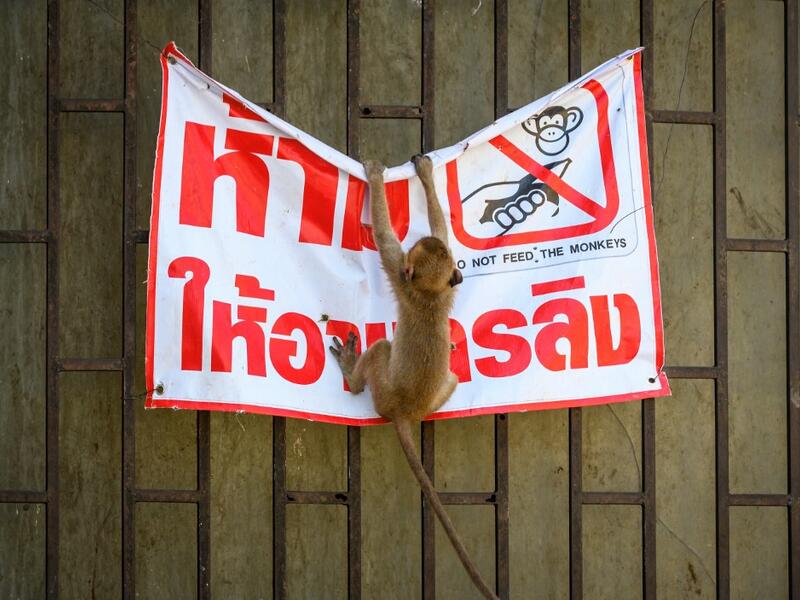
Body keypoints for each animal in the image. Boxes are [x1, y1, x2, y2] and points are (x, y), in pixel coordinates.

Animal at [329, 155, 499, 600]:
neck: (430, 293)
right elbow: (443, 231)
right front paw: (425, 176)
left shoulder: (400, 275)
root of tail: (404, 410)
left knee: (380, 351)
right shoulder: (448, 281)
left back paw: (352, 373)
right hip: (439, 391)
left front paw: (374, 180)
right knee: (451, 379)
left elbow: (385, 238)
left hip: (383, 388)